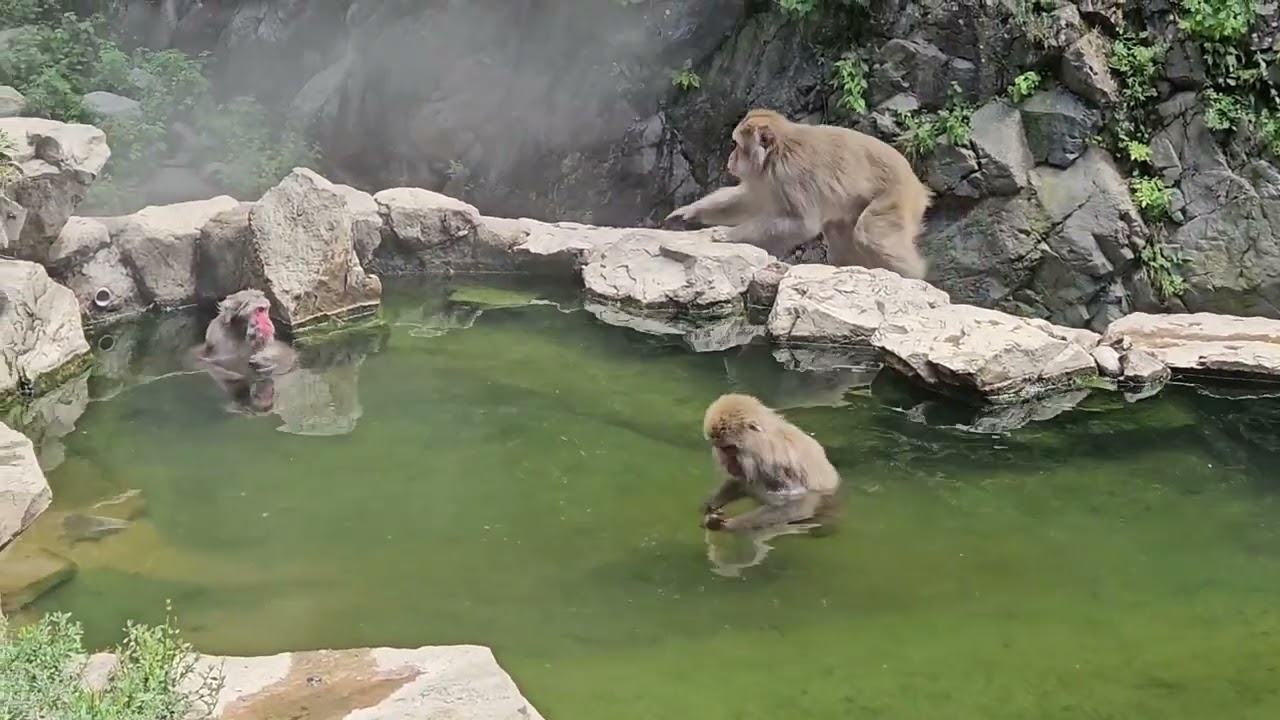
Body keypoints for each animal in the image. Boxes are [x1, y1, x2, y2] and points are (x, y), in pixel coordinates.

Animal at [664, 109, 931, 280]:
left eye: (737, 146)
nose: (730, 159)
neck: (778, 152)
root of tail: (916, 182)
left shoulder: (792, 175)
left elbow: (802, 225)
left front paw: (727, 235)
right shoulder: (766, 179)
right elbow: (748, 202)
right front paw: (689, 212)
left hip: (898, 196)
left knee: (871, 234)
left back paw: (912, 279)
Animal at [699, 393, 841, 532]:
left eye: (729, 448)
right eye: (721, 448)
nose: (729, 465)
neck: (763, 448)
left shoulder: (780, 467)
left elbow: (794, 503)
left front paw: (727, 524)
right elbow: (740, 483)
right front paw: (712, 504)